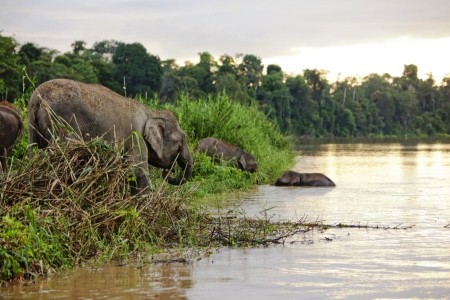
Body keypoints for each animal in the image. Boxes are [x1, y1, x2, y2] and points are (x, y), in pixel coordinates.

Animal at [27, 78, 193, 193]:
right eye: (183, 140)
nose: (169, 171)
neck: (151, 112)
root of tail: (37, 98)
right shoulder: (136, 137)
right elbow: (138, 172)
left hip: (33, 127)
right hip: (62, 124)